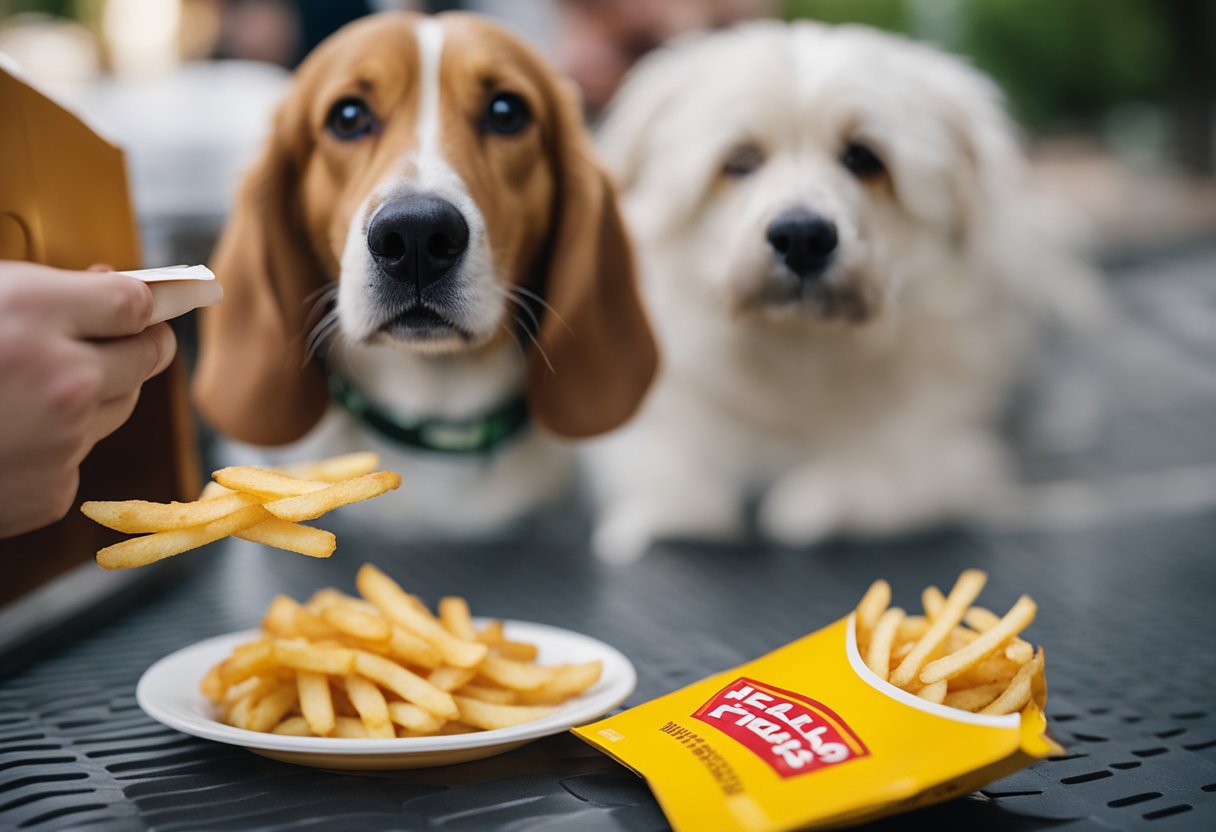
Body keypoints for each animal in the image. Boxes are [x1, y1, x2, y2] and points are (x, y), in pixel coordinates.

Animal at [586, 21, 1104, 564]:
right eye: (741, 160)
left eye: (864, 158)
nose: (802, 237)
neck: (801, 356)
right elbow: (682, 484)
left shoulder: (950, 453)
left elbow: (838, 491)